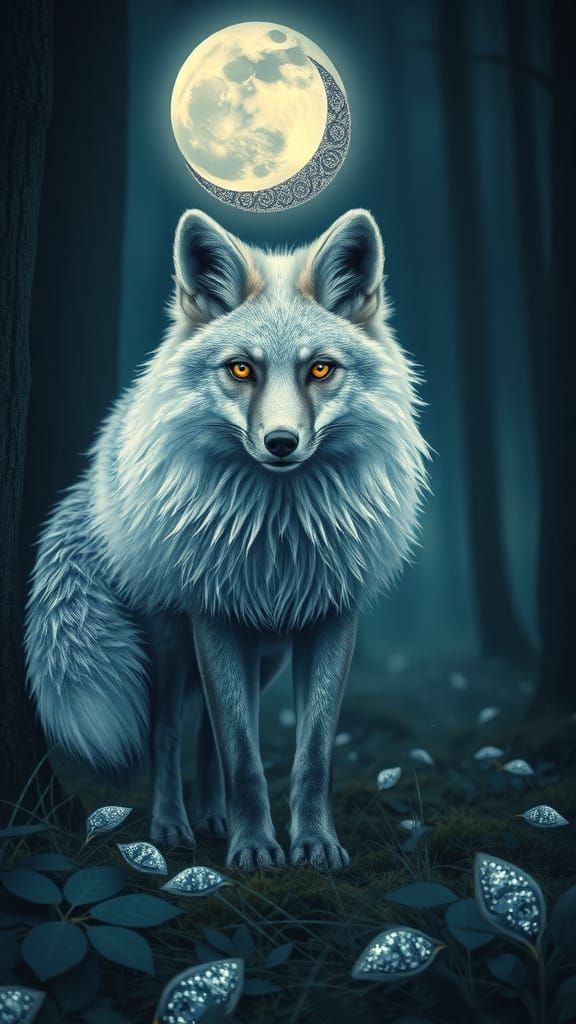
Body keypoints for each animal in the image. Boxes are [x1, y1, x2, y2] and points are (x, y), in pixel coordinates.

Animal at [25, 208, 428, 871]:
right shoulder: (214, 617)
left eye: (320, 369)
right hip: (170, 638)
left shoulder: (333, 619)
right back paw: (172, 825)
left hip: (265, 656)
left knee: (207, 736)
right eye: (242, 368)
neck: (279, 543)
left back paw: (213, 817)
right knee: (168, 732)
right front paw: (257, 849)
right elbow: (242, 753)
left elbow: (308, 754)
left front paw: (314, 845)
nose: (281, 443)